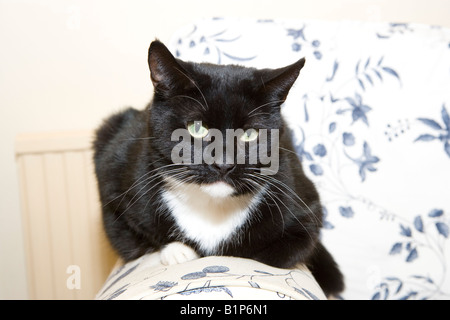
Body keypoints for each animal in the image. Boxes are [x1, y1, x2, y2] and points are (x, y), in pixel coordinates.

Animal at [93, 40, 342, 298]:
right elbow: (132, 240)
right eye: (196, 128)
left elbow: (282, 248)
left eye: (250, 134)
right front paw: (178, 251)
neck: (212, 208)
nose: (223, 162)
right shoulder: (116, 185)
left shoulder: (303, 203)